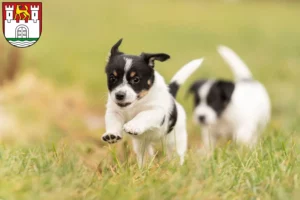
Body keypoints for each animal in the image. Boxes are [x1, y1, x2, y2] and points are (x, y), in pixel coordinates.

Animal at [101, 38, 204, 166]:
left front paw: (132, 125)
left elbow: (143, 114)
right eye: (112, 78)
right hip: (142, 144)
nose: (119, 95)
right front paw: (111, 134)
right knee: (144, 155)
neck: (135, 104)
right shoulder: (114, 111)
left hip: (176, 140)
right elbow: (112, 121)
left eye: (136, 79)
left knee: (177, 154)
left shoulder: (157, 112)